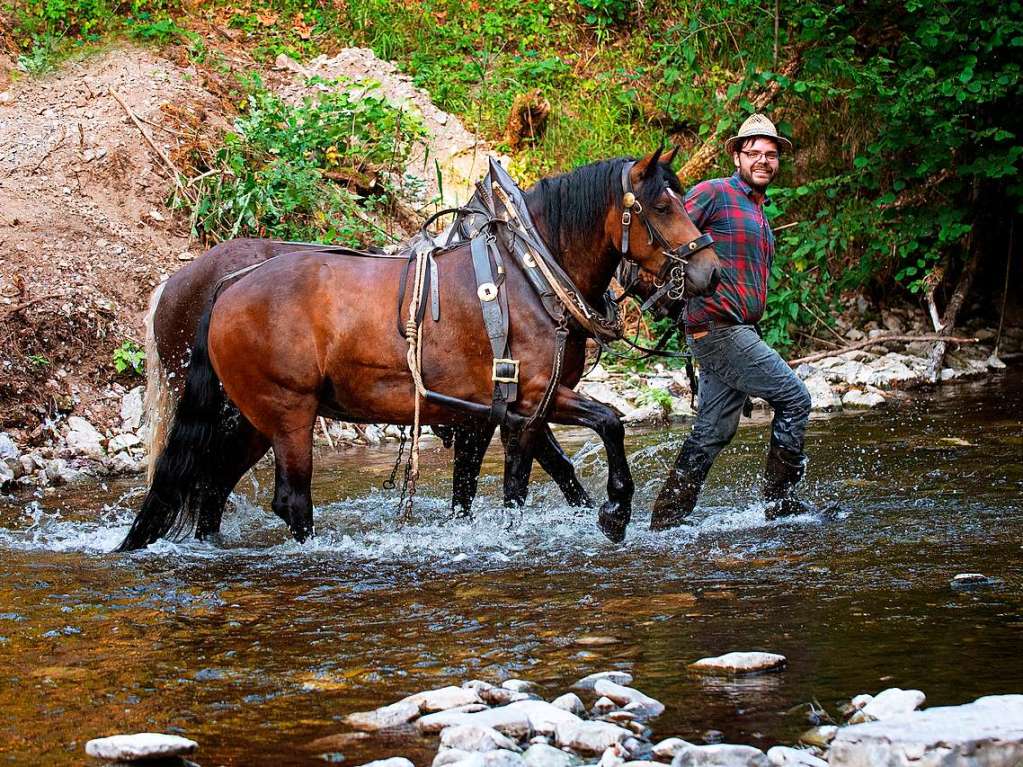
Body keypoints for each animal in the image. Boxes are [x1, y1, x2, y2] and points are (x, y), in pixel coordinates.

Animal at [117, 147, 720, 548]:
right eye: (662, 207)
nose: (711, 272)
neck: (530, 273)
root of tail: (226, 287)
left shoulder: (514, 407)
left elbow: (527, 472)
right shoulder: (529, 403)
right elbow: (543, 470)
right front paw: (610, 509)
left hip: (250, 418)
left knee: (211, 486)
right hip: (287, 414)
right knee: (289, 499)